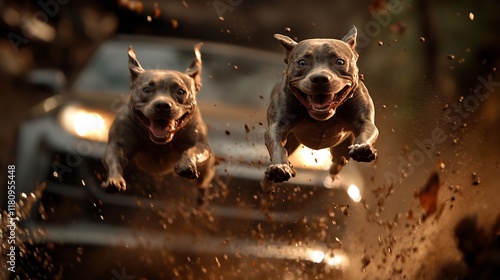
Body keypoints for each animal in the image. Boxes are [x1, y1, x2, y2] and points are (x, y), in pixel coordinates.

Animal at [102, 42, 216, 202]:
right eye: (146, 89)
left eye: (181, 91)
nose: (162, 105)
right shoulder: (118, 144)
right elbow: (115, 159)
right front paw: (114, 179)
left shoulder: (201, 145)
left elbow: (192, 150)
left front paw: (186, 165)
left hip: (207, 170)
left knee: (203, 183)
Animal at [264, 26, 376, 190]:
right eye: (302, 62)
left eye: (340, 62)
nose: (320, 79)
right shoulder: (277, 126)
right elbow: (277, 144)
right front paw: (280, 167)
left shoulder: (365, 121)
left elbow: (367, 130)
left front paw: (362, 148)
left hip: (341, 149)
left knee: (338, 162)